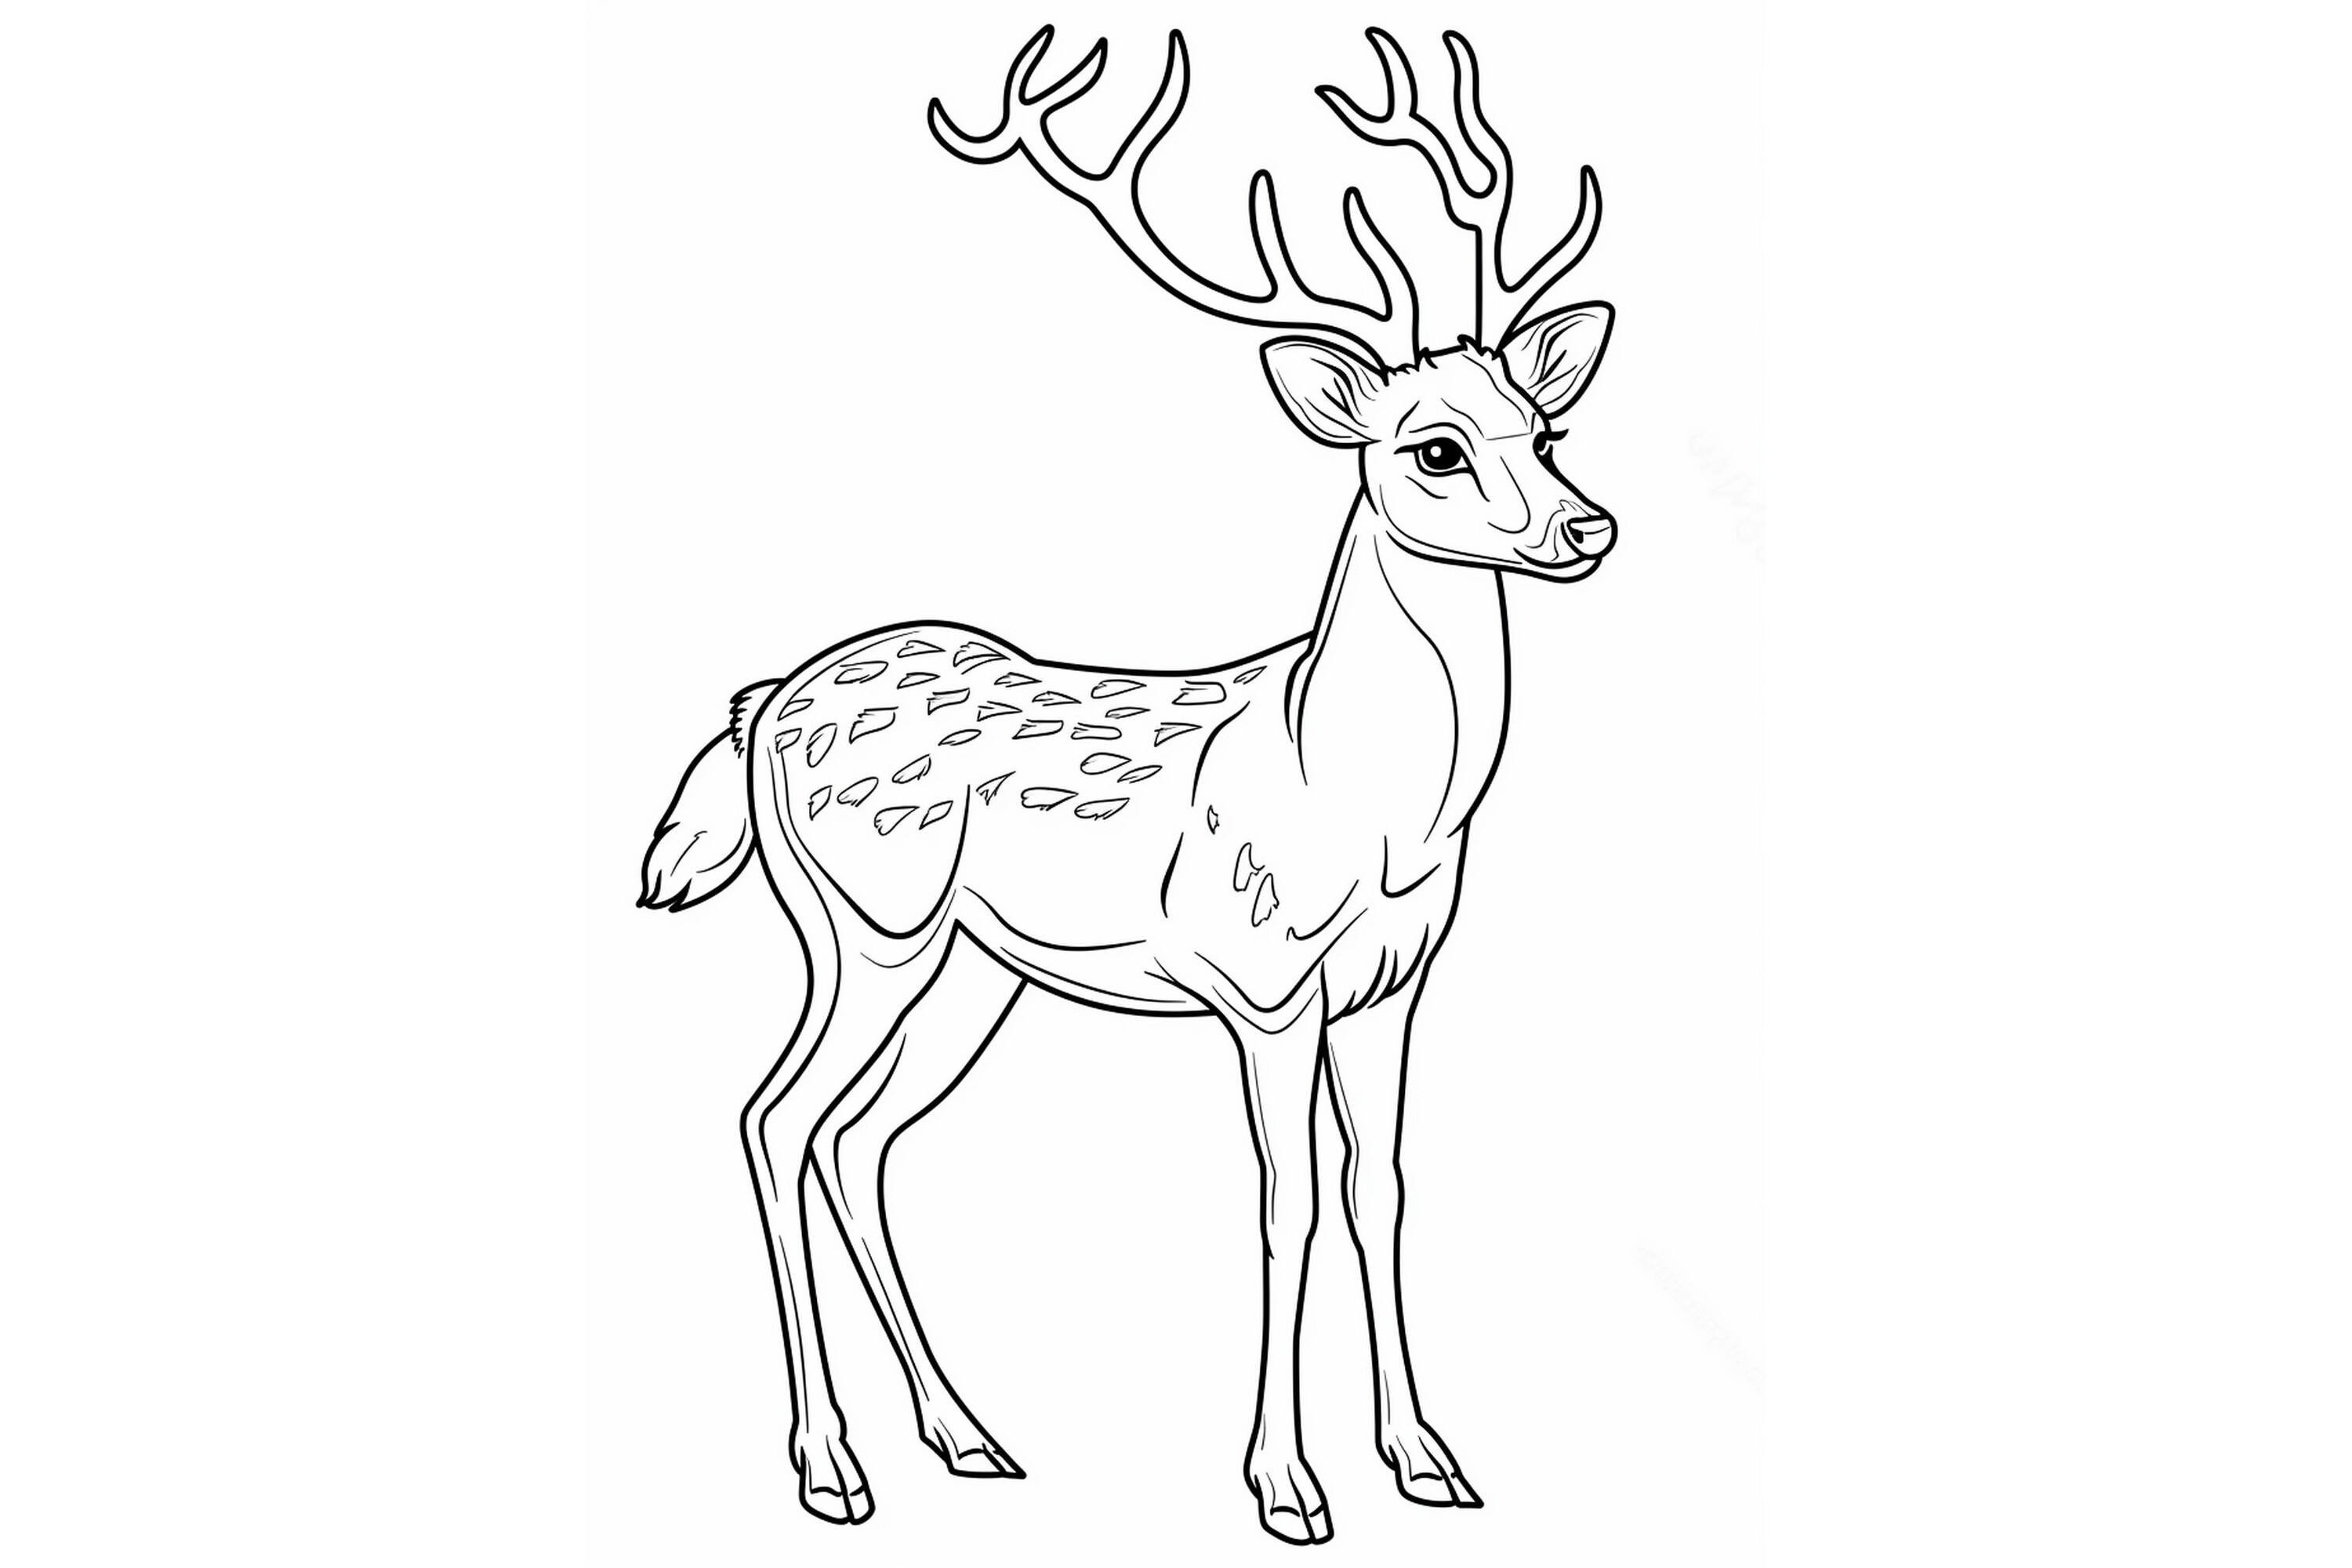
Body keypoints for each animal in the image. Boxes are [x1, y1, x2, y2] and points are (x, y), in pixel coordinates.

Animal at [638, 26, 1617, 1545]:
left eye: (1544, 429)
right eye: (1435, 447)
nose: (1590, 527)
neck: (1370, 805)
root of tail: (760, 708)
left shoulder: (1394, 986)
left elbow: (1382, 1190)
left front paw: (1430, 1460)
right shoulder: (1263, 983)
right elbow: (1287, 1203)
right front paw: (1286, 1487)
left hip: (972, 973)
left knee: (860, 1142)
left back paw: (967, 1436)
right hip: (863, 925)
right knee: (772, 1118)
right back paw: (832, 1467)